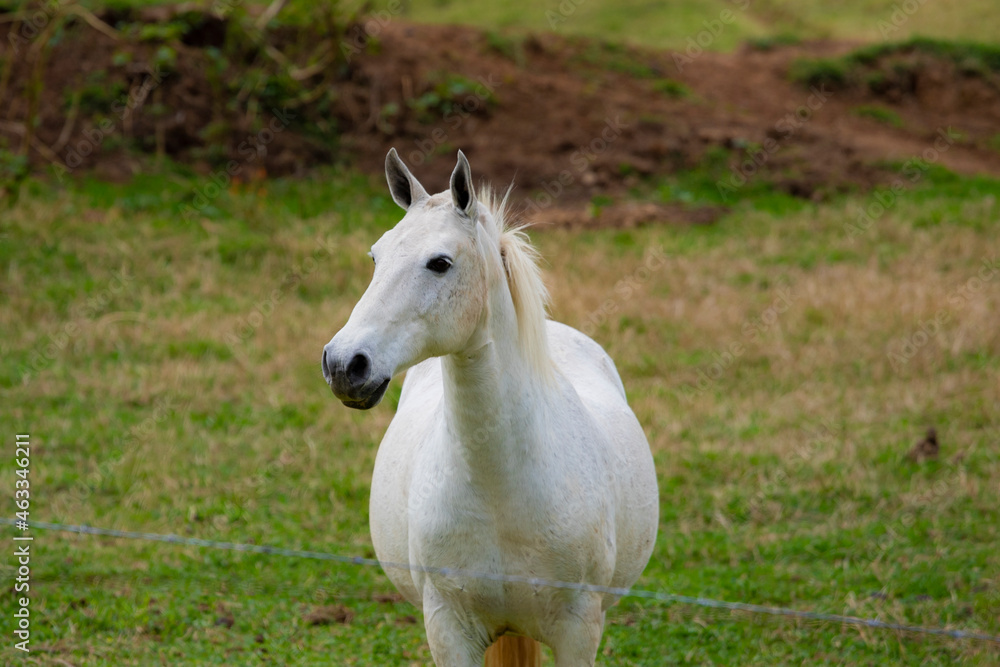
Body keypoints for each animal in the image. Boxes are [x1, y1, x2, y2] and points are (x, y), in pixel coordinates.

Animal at [322, 149, 659, 666]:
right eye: (376, 255)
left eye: (440, 263)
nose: (344, 364)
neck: (500, 486)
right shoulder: (448, 627)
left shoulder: (579, 630)